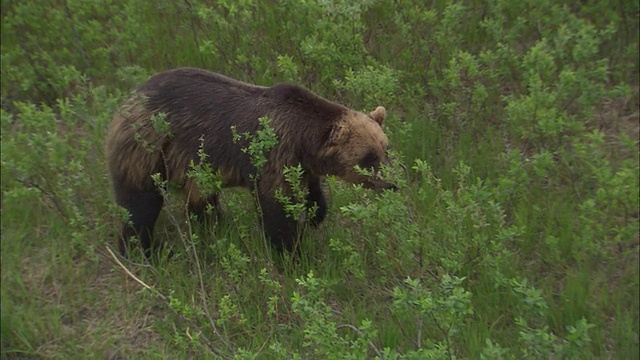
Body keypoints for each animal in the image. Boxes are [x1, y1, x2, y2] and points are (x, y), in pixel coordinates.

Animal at [105, 67, 396, 258]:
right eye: (367, 157)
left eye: (385, 148)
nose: (392, 184)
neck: (303, 140)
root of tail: (129, 98)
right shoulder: (273, 154)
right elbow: (276, 208)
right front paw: (290, 253)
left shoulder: (301, 164)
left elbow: (312, 193)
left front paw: (313, 217)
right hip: (149, 149)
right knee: (139, 205)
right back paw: (140, 252)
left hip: (192, 164)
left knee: (200, 198)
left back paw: (214, 226)